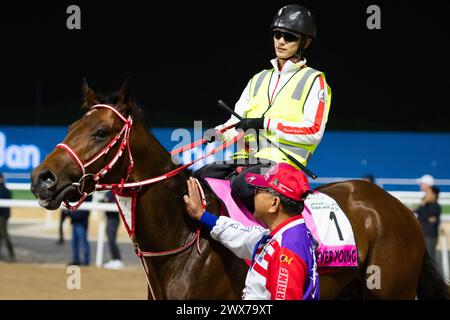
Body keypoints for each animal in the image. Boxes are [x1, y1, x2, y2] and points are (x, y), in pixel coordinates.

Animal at [29, 80, 448, 300]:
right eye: (71, 127)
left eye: (101, 132)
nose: (42, 178)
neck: (182, 234)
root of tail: (396, 208)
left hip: (391, 291)